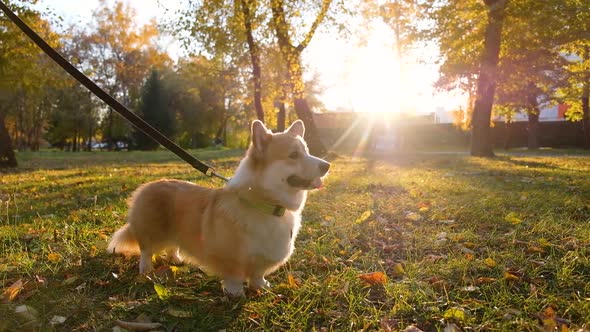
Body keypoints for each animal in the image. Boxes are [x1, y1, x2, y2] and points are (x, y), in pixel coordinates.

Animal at [108, 119, 330, 296]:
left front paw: (261, 287)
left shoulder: (260, 261)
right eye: (293, 155)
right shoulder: (232, 260)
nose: (327, 165)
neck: (265, 204)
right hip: (152, 231)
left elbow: (257, 275)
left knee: (172, 245)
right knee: (146, 250)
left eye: (307, 152)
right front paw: (236, 293)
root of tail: (147, 186)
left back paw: (177, 259)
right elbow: (235, 277)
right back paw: (146, 270)